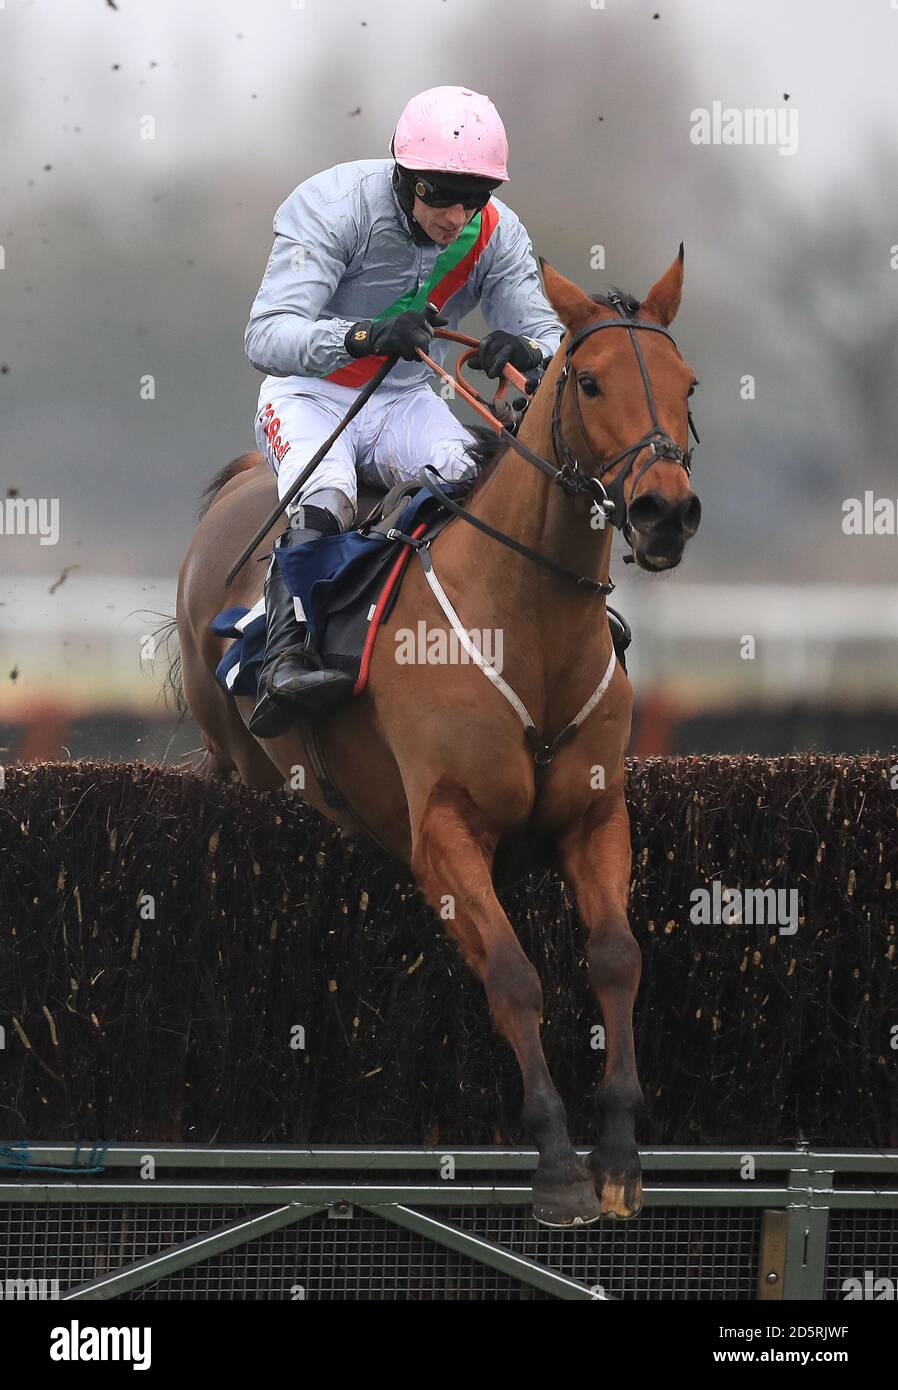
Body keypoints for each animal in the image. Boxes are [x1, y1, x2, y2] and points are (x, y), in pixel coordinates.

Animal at [175, 252, 703, 1228]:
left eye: (689, 384)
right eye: (589, 380)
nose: (663, 512)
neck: (527, 623)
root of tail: (239, 483)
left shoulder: (595, 817)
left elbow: (618, 958)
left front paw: (618, 1152)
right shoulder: (445, 830)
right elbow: (514, 976)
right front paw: (558, 1162)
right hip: (240, 756)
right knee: (321, 504)